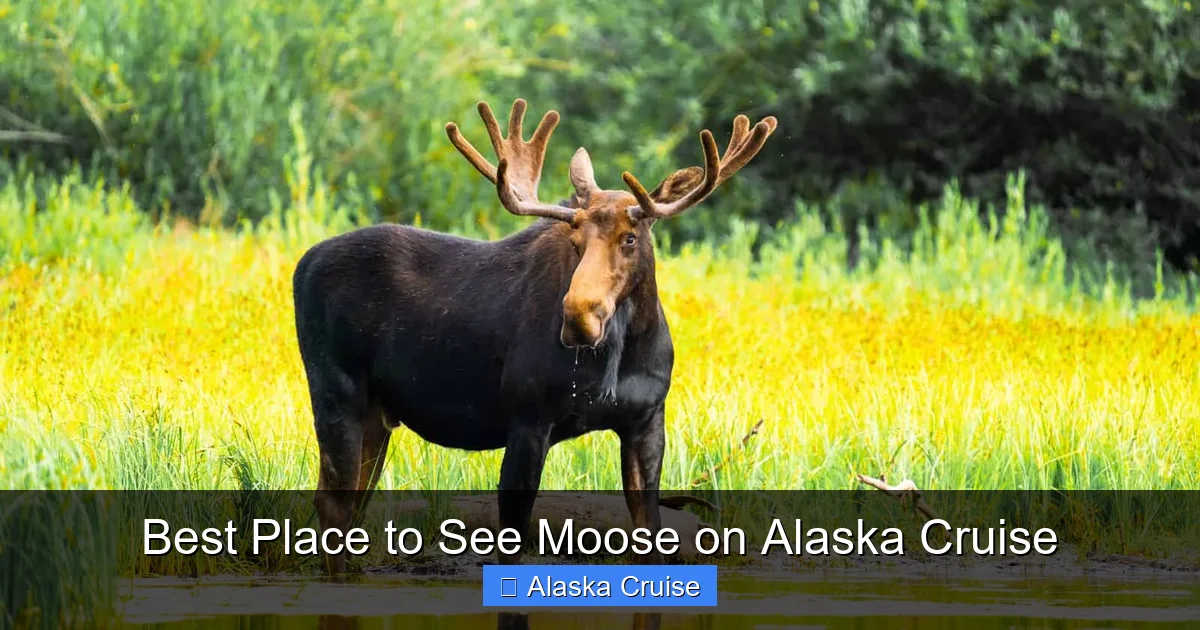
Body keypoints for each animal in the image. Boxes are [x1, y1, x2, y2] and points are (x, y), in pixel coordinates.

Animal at [292, 98, 776, 577]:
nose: (579, 316)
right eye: (576, 240)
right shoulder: (528, 419)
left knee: (349, 503)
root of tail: (302, 264)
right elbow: (511, 538)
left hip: (377, 413)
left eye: (630, 238)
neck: (621, 355)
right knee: (332, 504)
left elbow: (651, 535)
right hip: (337, 392)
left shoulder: (646, 420)